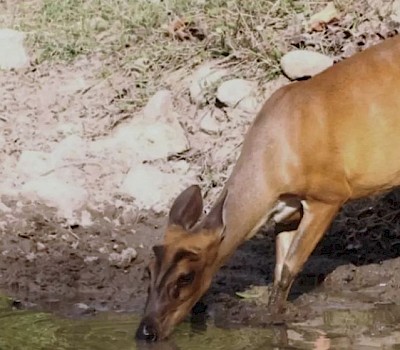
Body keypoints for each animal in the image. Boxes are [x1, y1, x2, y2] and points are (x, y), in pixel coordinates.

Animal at [136, 34, 400, 340]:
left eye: (186, 276)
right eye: (148, 270)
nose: (145, 331)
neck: (275, 160)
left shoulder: (328, 193)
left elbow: (289, 267)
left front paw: (274, 318)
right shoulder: (287, 212)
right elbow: (278, 268)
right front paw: (273, 314)